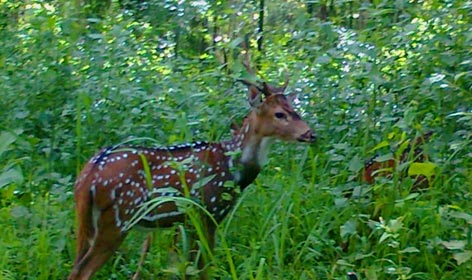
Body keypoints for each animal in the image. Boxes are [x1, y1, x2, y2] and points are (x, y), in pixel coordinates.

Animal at [67, 69, 318, 278]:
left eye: (294, 109)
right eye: (279, 114)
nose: (311, 134)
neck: (233, 168)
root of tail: (88, 175)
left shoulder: (187, 221)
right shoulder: (208, 211)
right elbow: (204, 268)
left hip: (87, 222)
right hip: (118, 219)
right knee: (82, 271)